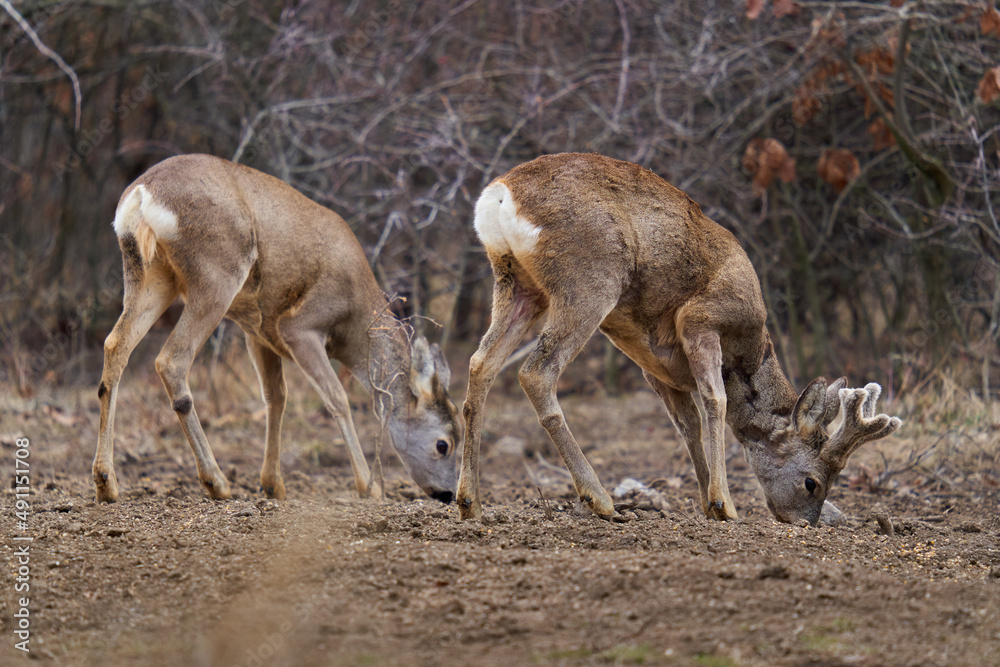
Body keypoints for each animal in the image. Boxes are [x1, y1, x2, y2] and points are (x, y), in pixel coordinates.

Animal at [93, 154, 460, 505]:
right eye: (443, 444)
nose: (450, 494)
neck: (356, 322)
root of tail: (142, 193)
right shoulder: (298, 327)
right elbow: (337, 397)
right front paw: (370, 488)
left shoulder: (256, 331)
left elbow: (276, 397)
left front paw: (273, 485)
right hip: (217, 274)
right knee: (171, 360)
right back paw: (217, 482)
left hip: (151, 275)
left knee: (115, 346)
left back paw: (106, 482)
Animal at [456, 153, 902, 526]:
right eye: (812, 482)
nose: (805, 522)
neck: (750, 352)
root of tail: (501, 194)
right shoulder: (700, 318)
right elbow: (715, 401)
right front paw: (725, 505)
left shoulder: (655, 369)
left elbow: (687, 424)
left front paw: (708, 502)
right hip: (589, 279)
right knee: (536, 372)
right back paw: (601, 500)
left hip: (518, 284)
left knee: (481, 363)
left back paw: (469, 502)